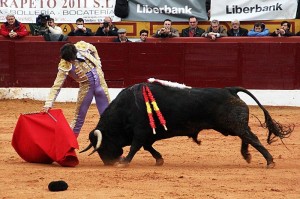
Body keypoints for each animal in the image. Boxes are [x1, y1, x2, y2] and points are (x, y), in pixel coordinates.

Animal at [80, 83, 292, 167]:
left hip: (232, 124)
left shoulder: (140, 132)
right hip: (230, 126)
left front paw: (124, 162)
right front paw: (159, 159)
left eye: (102, 146)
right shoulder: (147, 135)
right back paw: (247, 155)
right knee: (246, 136)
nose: (109, 163)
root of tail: (229, 89)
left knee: (251, 137)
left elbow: (135, 147)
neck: (124, 109)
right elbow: (148, 147)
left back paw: (269, 161)